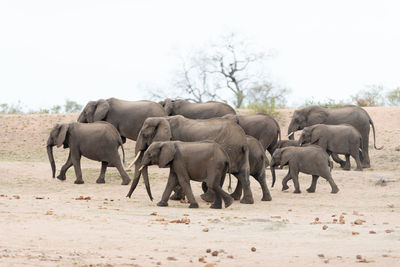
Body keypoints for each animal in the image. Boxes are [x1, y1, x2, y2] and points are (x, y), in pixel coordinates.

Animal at [126, 115, 255, 205]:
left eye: (144, 134)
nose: (127, 197)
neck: (163, 118)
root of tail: (243, 141)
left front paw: (178, 198)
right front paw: (177, 198)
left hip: (228, 149)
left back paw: (207, 198)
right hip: (237, 154)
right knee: (242, 174)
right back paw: (245, 201)